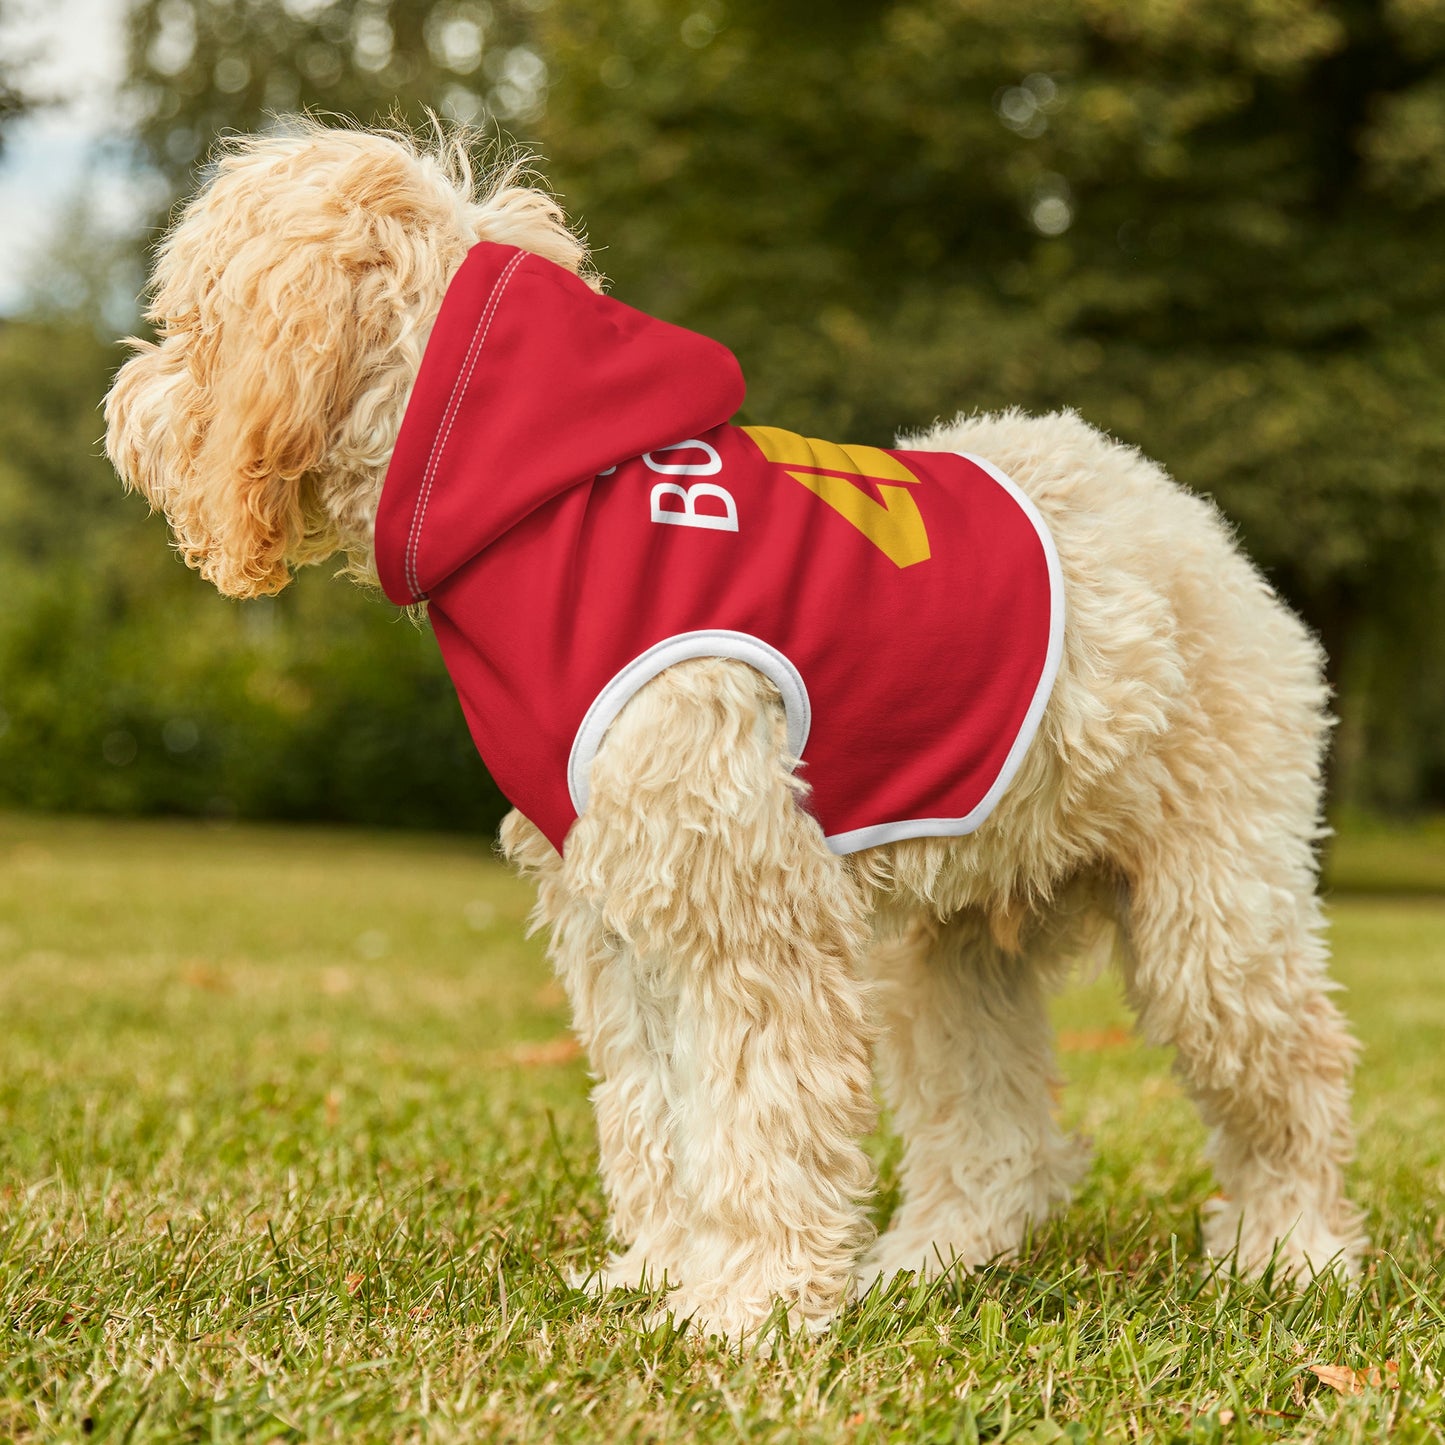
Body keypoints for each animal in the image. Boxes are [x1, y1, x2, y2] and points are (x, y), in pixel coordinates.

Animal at [106, 124, 1358, 1340]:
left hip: (1212, 914)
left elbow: (757, 1115)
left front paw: (745, 1304)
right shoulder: (617, 911)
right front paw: (661, 1272)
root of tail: (1185, 517)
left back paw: (1290, 1253)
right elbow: (655, 1111)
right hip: (951, 947)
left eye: (189, 321)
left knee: (1293, 1075)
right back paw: (930, 1260)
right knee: (997, 1134)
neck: (543, 501)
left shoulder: (743, 905)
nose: (122, 409)